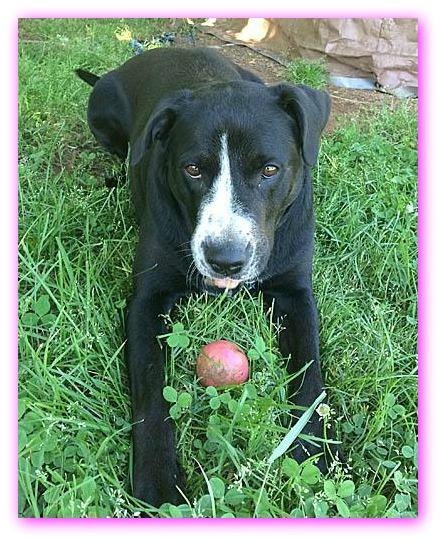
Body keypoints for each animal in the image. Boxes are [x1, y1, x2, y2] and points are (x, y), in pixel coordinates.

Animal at [77, 46, 336, 506]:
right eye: (193, 169)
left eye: (270, 170)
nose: (225, 260)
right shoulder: (147, 300)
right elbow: (151, 391)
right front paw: (158, 481)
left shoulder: (295, 293)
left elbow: (311, 378)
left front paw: (310, 454)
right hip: (101, 109)